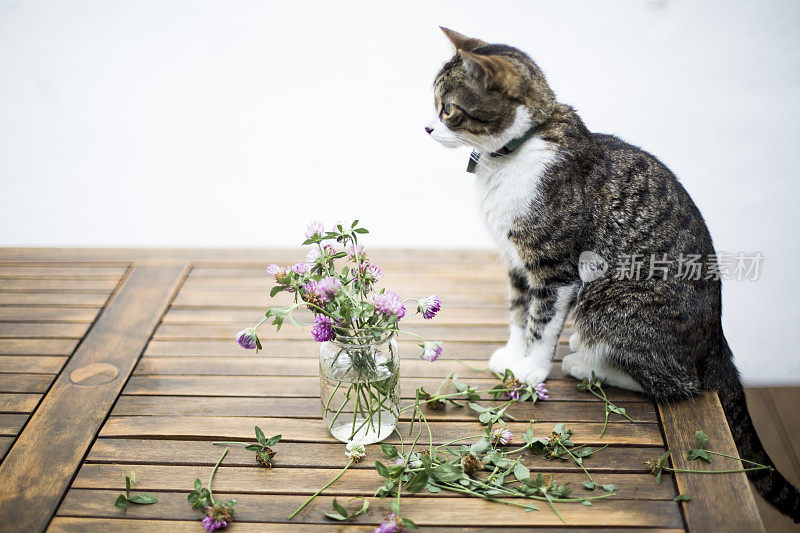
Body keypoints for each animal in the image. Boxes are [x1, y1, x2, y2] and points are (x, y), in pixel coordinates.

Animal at [428, 27, 800, 520]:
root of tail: (716, 339)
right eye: (434, 104)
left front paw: (532, 369)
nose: (426, 126)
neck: (514, 154)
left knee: (679, 385)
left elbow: (540, 322)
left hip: (611, 305)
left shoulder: (555, 266)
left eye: (447, 108)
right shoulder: (516, 262)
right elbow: (517, 313)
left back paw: (586, 365)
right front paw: (512, 355)